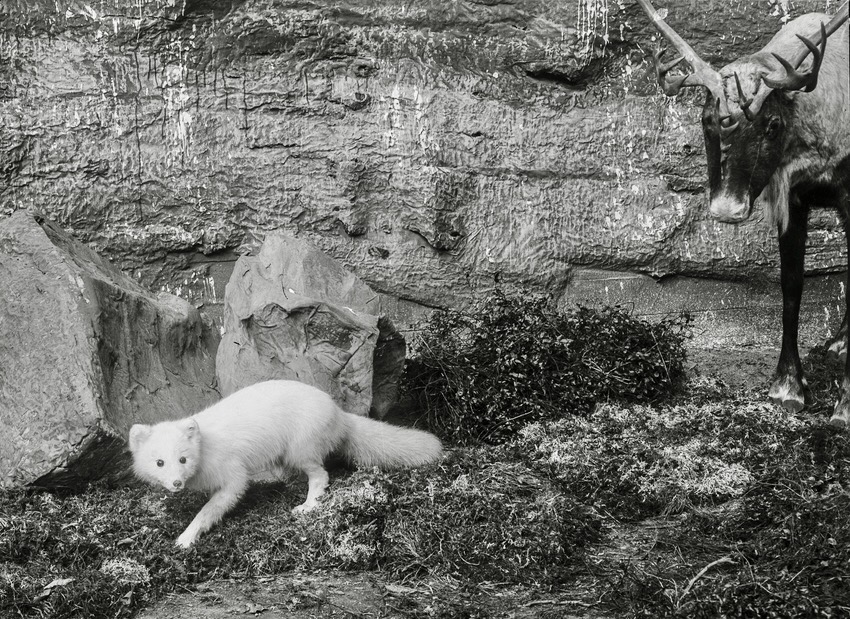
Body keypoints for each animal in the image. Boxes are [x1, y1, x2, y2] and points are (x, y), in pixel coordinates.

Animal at [128, 379, 442, 548]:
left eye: (183, 458)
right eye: (159, 462)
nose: (176, 483)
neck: (206, 447)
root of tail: (339, 412)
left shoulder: (233, 475)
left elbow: (211, 508)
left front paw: (186, 537)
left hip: (300, 449)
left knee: (321, 475)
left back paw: (307, 505)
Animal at [634, 0, 850, 425]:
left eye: (772, 123)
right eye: (706, 119)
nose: (726, 208)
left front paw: (845, 405)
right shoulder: (793, 198)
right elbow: (790, 286)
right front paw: (787, 386)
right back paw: (839, 341)